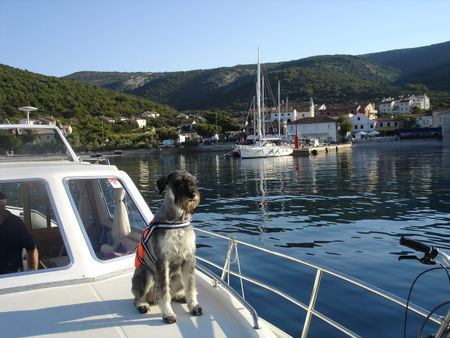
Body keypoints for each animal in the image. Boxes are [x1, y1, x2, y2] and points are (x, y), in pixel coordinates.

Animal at [132, 170, 202, 324]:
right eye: (177, 183)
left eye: (193, 182)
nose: (192, 194)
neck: (177, 219)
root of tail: (152, 298)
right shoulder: (162, 260)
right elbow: (164, 292)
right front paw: (168, 314)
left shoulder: (189, 258)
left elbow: (191, 286)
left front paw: (193, 305)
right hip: (145, 274)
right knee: (139, 296)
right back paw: (142, 304)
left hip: (178, 277)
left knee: (173, 291)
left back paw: (180, 296)